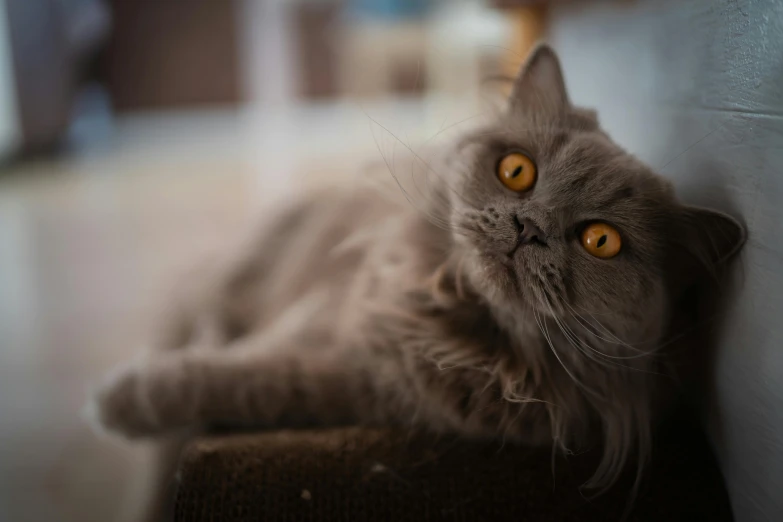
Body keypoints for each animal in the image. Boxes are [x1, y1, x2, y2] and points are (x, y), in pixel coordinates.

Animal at [89, 43, 744, 492]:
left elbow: (241, 381)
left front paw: (125, 400)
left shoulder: (357, 389)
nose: (528, 227)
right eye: (517, 171)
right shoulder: (330, 317)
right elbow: (232, 361)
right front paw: (120, 398)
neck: (453, 328)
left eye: (600, 240)